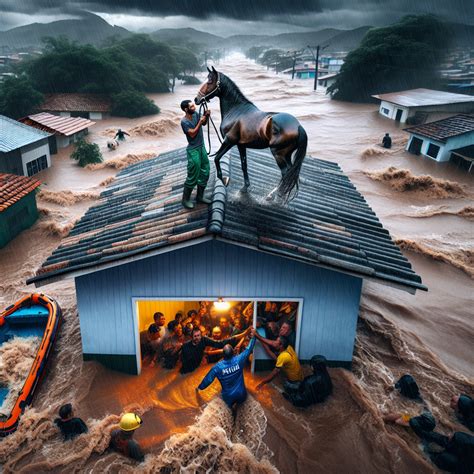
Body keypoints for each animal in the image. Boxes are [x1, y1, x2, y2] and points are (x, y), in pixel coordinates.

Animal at [195, 66, 308, 200]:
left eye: (209, 81)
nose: (197, 99)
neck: (236, 110)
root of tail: (298, 126)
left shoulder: (229, 141)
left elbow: (217, 158)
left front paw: (223, 179)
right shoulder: (241, 145)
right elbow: (244, 165)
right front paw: (244, 188)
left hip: (278, 154)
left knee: (285, 173)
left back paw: (273, 196)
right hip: (287, 155)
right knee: (291, 174)